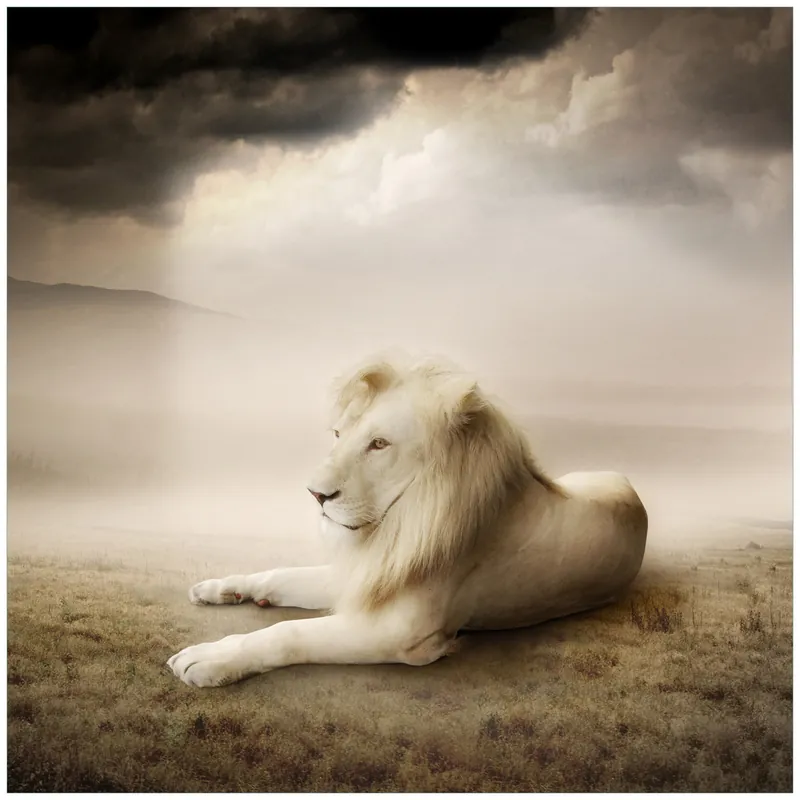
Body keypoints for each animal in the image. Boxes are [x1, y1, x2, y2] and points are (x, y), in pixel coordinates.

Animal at [167, 353, 648, 688]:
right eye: (339, 435)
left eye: (379, 444)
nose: (315, 494)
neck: (395, 527)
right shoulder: (368, 575)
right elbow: (283, 574)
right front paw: (224, 588)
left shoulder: (403, 633)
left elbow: (289, 633)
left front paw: (208, 659)